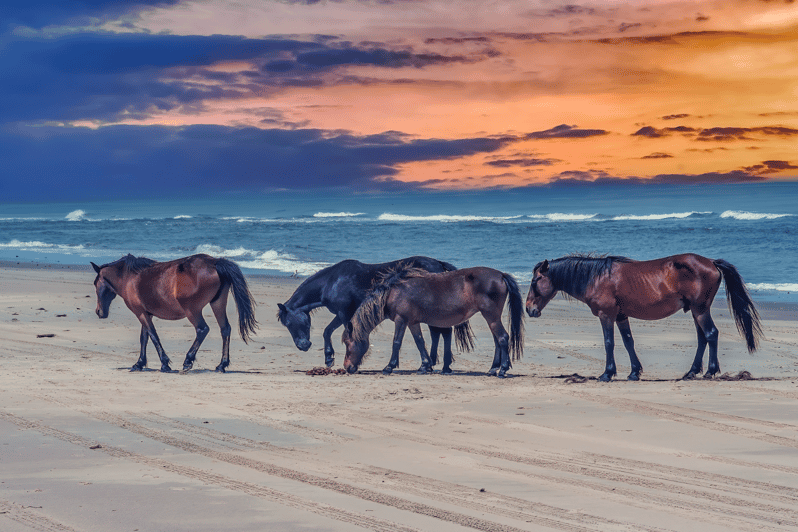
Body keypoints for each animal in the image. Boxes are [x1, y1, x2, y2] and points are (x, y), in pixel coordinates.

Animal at [93, 255, 260, 374]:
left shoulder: (140, 313)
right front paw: (139, 363)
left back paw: (188, 361)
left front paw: (164, 364)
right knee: (225, 329)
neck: (129, 278)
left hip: (192, 310)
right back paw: (221, 365)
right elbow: (144, 338)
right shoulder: (146, 313)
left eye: (95, 284)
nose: (99, 312)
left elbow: (153, 336)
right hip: (217, 303)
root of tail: (214, 262)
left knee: (202, 329)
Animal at [278, 258, 472, 370]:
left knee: (443, 332)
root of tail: (439, 264)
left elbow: (349, 334)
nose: (303, 346)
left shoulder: (345, 314)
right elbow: (327, 331)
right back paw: (435, 364)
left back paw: (441, 365)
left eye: (289, 323)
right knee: (438, 333)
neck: (332, 282)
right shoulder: (341, 313)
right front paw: (328, 358)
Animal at [346, 266, 524, 378]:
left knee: (503, 338)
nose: (347, 367)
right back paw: (493, 369)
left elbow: (396, 342)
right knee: (497, 341)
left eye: (348, 343)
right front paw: (424, 366)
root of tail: (501, 275)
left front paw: (389, 367)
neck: (393, 291)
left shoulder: (401, 319)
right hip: (492, 317)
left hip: (491, 316)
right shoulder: (412, 322)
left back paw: (502, 370)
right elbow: (420, 342)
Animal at [528, 255, 764, 382]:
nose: (529, 309)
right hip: (696, 311)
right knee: (702, 338)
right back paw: (691, 372)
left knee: (711, 334)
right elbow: (628, 342)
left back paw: (709, 372)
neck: (597, 278)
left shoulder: (607, 316)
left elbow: (609, 343)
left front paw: (607, 373)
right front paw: (634, 372)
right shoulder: (621, 316)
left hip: (700, 310)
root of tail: (712, 262)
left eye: (535, 281)